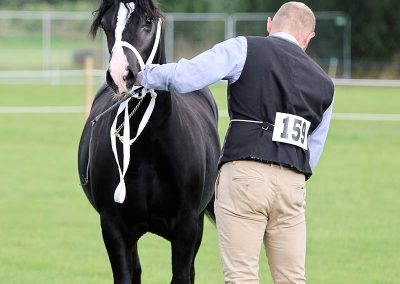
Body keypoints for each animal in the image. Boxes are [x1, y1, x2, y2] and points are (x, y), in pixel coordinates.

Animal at [77, 0, 222, 284]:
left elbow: (182, 275)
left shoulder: (187, 227)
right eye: (106, 24)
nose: (121, 75)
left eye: (147, 21)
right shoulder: (113, 227)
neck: (150, 145)